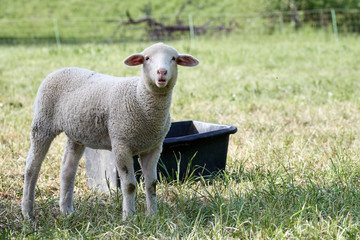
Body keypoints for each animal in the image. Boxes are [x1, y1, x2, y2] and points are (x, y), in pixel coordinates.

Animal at [21, 42, 200, 219]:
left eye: (174, 58)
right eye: (147, 58)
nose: (161, 72)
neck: (140, 98)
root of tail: (59, 70)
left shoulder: (154, 147)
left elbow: (152, 184)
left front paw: (153, 216)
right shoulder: (121, 144)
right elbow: (129, 186)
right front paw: (129, 217)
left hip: (76, 133)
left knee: (67, 168)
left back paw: (66, 210)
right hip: (42, 124)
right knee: (31, 168)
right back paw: (28, 212)